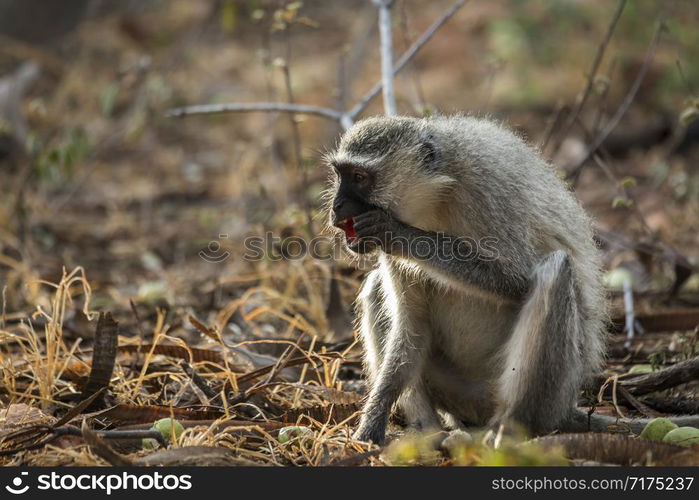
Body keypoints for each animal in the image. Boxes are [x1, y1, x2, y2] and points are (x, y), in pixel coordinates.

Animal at [326, 114, 699, 446]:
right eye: (340, 174)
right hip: (456, 393)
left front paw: (402, 234)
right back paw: (428, 433)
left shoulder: (487, 189)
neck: (435, 195)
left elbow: (515, 281)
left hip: (548, 390)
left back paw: (509, 429)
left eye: (359, 177)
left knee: (553, 271)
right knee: (377, 288)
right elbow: (411, 326)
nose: (336, 206)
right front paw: (371, 424)